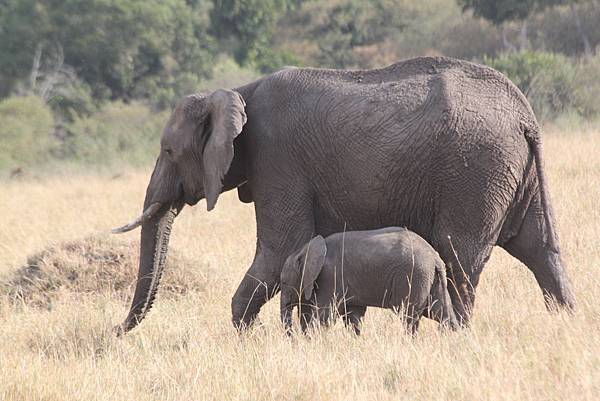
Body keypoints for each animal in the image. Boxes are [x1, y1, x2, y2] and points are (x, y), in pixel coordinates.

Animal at [278, 227, 458, 332]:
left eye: (284, 283)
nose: (293, 338)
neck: (304, 250)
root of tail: (435, 257)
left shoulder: (330, 277)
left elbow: (324, 316)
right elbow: (353, 315)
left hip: (414, 276)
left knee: (409, 316)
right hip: (430, 278)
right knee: (441, 313)